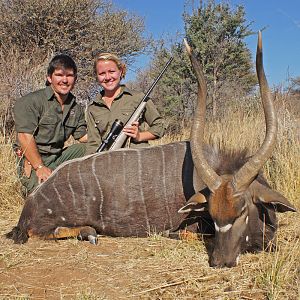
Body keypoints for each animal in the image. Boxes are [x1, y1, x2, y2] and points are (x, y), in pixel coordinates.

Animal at [6, 32, 296, 268]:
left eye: (243, 210)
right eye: (212, 214)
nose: (220, 261)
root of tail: (31, 202)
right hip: (45, 224)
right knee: (44, 231)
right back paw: (89, 232)